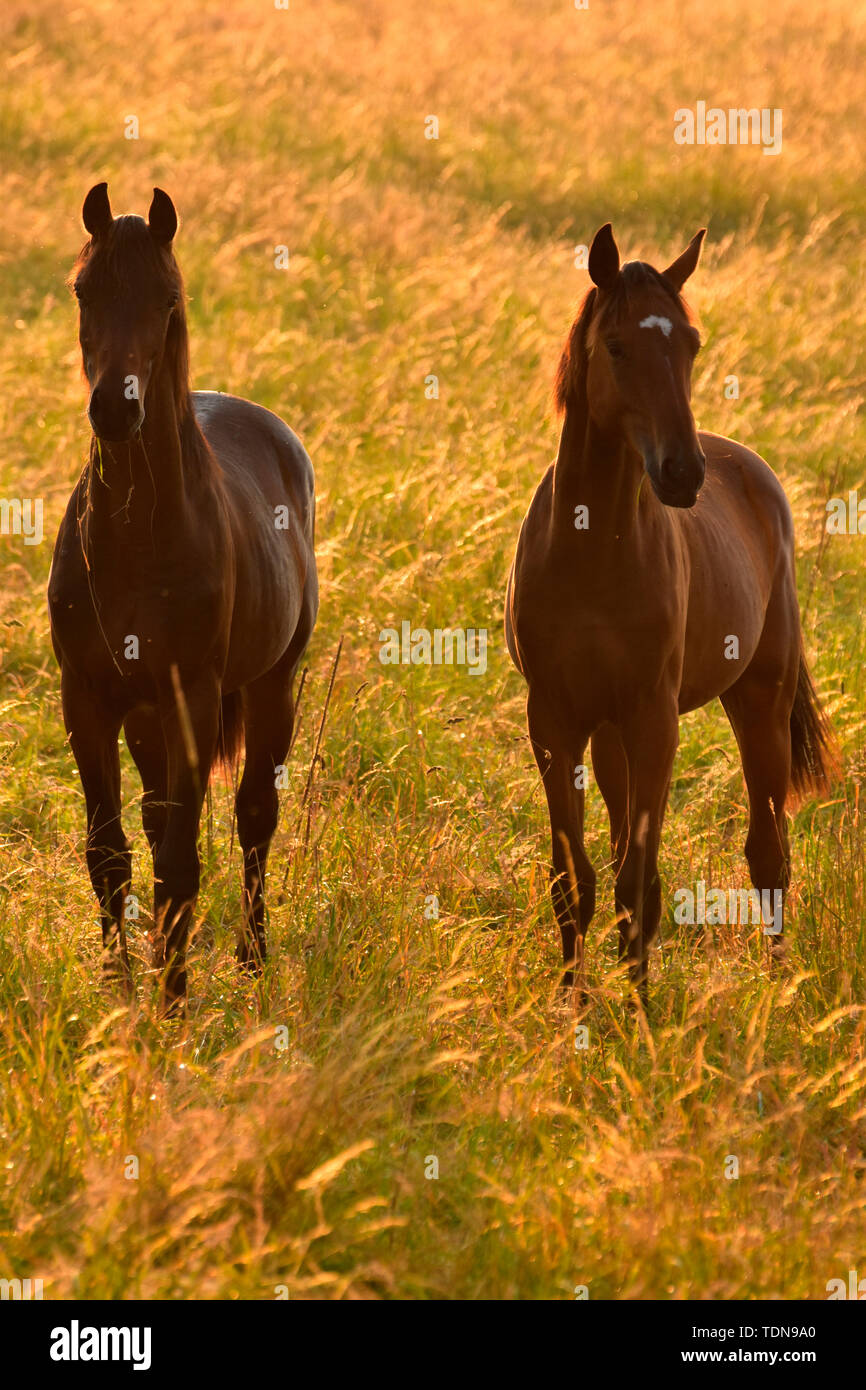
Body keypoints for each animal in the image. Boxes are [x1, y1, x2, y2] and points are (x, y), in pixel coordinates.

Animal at [48, 182, 318, 1011]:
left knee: (254, 817)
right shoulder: (89, 698)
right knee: (157, 815)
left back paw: (252, 960)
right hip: (146, 718)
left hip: (270, 688)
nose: (116, 409)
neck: (139, 538)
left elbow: (179, 862)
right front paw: (121, 989)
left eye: (168, 299)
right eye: (84, 289)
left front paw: (170, 1003)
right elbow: (110, 851)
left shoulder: (192, 698)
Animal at [505, 225, 839, 1000]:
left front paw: (640, 1009)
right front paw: (574, 1002)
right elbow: (575, 879)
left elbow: (639, 883)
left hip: (759, 703)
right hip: (608, 734)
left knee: (769, 852)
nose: (683, 473)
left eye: (691, 343)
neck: (591, 550)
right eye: (616, 346)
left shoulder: (653, 718)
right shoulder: (555, 720)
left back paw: (776, 980)